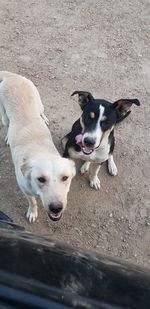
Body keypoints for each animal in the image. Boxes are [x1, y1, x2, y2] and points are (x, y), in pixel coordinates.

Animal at [0, 71, 75, 221]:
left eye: (65, 178)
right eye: (41, 179)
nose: (56, 208)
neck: (40, 151)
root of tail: (13, 76)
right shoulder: (26, 191)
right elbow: (33, 202)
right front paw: (32, 212)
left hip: (38, 102)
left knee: (41, 111)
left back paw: (44, 118)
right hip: (4, 116)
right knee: (7, 124)